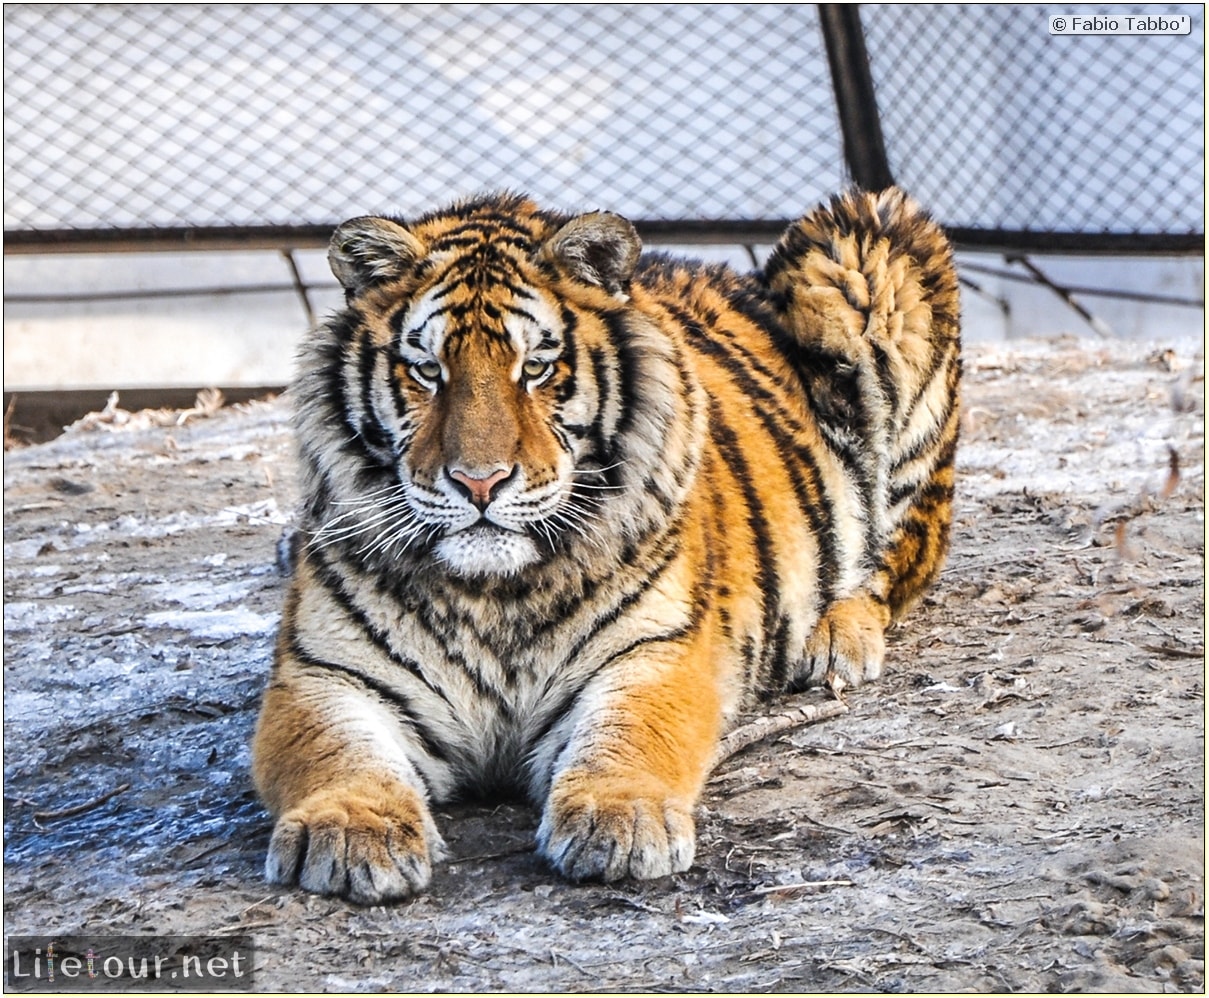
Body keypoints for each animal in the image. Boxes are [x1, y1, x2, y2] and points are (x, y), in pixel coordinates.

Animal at [250, 186, 957, 904]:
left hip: (862, 250)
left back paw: (838, 641)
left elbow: (631, 734)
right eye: (426, 371)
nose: (479, 482)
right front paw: (349, 829)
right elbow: (334, 751)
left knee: (895, 561)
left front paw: (620, 819)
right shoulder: (325, 672)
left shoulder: (654, 652)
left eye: (535, 368)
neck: (493, 594)